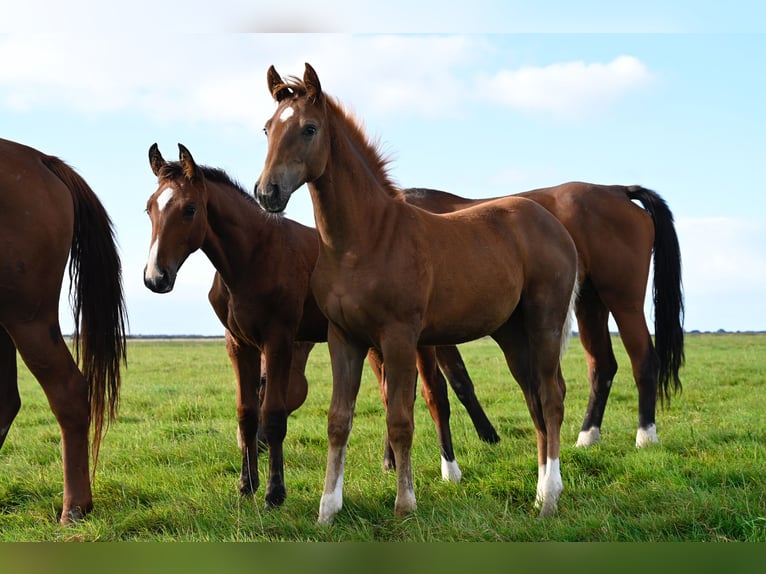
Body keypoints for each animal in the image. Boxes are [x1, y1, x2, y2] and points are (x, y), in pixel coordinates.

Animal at [142, 144, 498, 509]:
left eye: (189, 209)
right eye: (149, 209)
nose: (156, 277)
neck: (253, 257)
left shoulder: (279, 339)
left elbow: (273, 414)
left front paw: (274, 492)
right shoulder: (239, 344)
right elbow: (246, 413)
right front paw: (246, 484)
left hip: (418, 342)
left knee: (434, 393)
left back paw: (450, 470)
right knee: (393, 395)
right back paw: (393, 464)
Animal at [255, 63, 579, 523]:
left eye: (309, 129)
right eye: (268, 128)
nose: (267, 193)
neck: (366, 238)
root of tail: (553, 224)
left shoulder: (399, 337)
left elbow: (400, 419)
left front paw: (404, 504)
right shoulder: (344, 338)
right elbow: (338, 420)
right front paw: (327, 509)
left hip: (544, 323)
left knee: (551, 397)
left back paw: (549, 498)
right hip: (512, 333)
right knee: (534, 398)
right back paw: (541, 491)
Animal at [401, 185, 684, 448]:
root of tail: (618, 191)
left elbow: (458, 381)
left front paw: (489, 435)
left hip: (623, 301)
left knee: (644, 361)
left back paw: (645, 435)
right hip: (590, 303)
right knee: (602, 366)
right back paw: (587, 435)